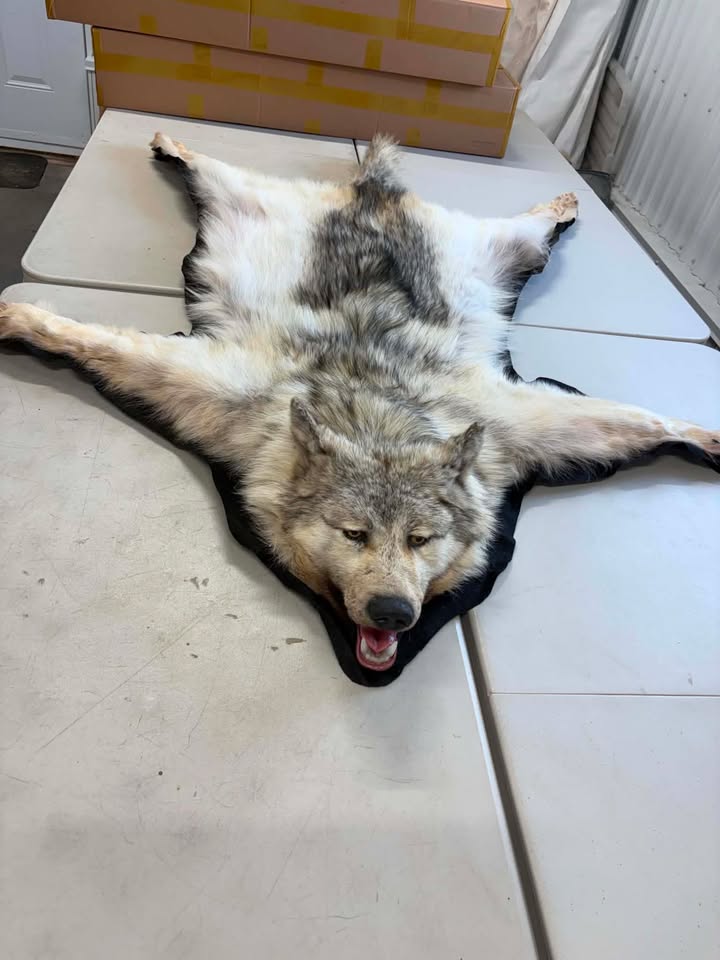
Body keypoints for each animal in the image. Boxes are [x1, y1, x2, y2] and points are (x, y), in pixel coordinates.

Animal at [1, 134, 717, 672]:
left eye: (421, 539)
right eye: (354, 534)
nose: (394, 615)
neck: (378, 417)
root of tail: (373, 191)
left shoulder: (518, 425)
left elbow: (639, 417)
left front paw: (706, 437)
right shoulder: (212, 388)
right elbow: (88, 337)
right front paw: (21, 318)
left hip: (495, 249)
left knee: (531, 226)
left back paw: (564, 200)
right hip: (243, 201)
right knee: (207, 166)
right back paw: (170, 142)